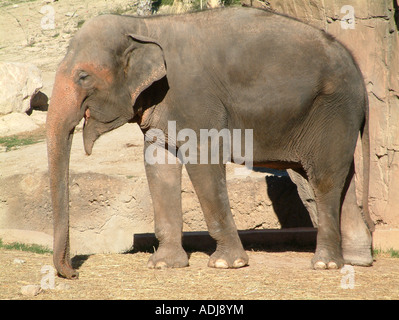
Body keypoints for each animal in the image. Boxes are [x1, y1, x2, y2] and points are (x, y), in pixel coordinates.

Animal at [46, 6, 376, 278]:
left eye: (83, 76)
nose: (72, 273)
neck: (143, 26)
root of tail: (359, 74)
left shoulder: (194, 97)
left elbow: (202, 161)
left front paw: (226, 264)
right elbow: (158, 164)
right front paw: (163, 265)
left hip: (333, 110)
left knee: (325, 179)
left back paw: (325, 264)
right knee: (342, 179)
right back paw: (357, 260)